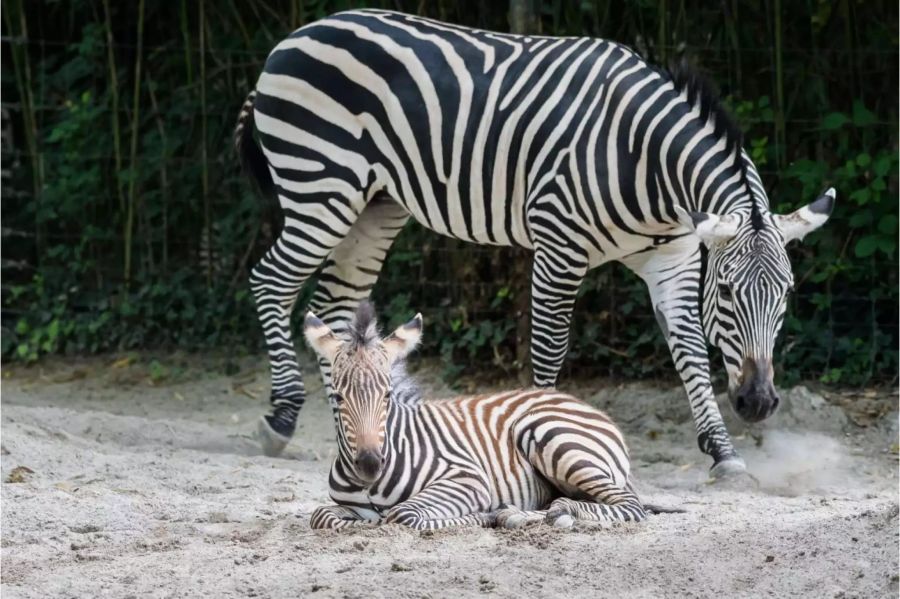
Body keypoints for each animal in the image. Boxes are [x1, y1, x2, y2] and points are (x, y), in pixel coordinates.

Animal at [236, 9, 832, 478]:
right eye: (727, 293)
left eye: (787, 294)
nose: (758, 404)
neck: (643, 158)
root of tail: (292, 37)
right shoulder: (559, 247)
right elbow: (549, 349)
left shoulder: (675, 258)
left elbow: (688, 350)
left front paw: (723, 452)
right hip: (320, 185)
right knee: (271, 282)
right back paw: (282, 417)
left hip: (375, 205)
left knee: (333, 302)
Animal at [306, 304, 652, 528]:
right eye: (338, 397)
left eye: (387, 396)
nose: (369, 465)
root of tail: (577, 401)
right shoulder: (345, 507)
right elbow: (321, 516)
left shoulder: (468, 479)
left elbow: (404, 515)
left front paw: (482, 516)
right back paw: (518, 515)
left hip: (551, 436)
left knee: (630, 505)